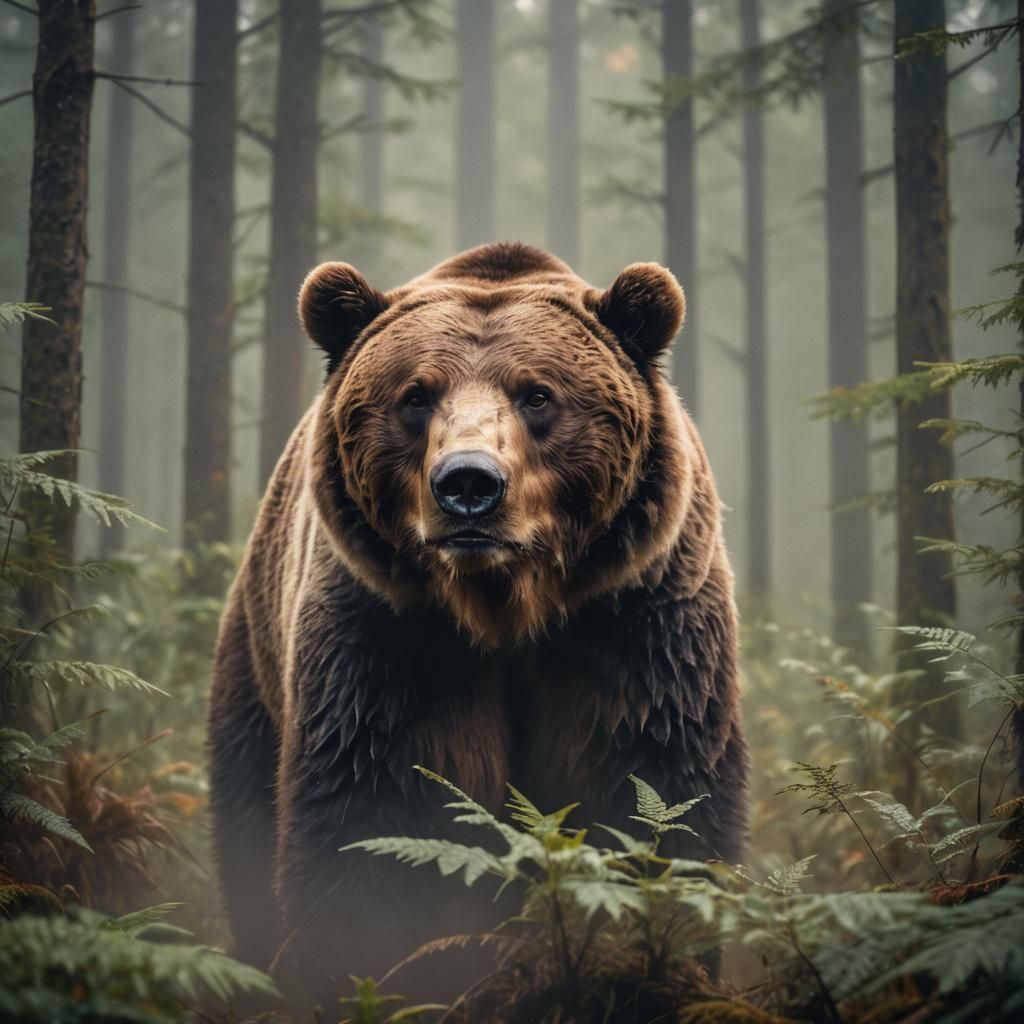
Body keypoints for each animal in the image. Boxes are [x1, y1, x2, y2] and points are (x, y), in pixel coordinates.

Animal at [207, 242, 748, 1000]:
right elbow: (369, 821)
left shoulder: (636, 625)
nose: (468, 483)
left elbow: (657, 800)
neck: (504, 608)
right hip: (255, 676)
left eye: (538, 393)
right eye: (415, 395)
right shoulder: (387, 640)